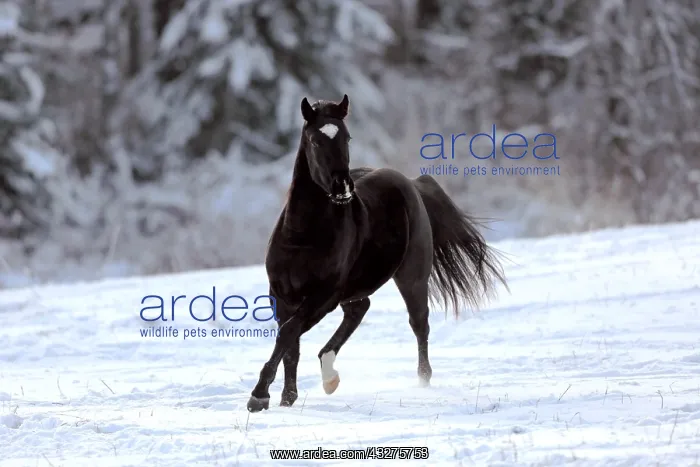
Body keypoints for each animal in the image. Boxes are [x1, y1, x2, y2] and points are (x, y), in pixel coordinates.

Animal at [246, 94, 508, 412]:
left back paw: (421, 380)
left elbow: (289, 332)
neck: (302, 237)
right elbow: (289, 344)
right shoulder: (282, 295)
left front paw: (259, 395)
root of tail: (411, 182)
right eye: (315, 140)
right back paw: (329, 375)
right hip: (355, 288)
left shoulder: (324, 294)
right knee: (359, 310)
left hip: (411, 278)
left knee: (418, 324)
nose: (342, 188)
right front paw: (286, 399)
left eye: (346, 137)